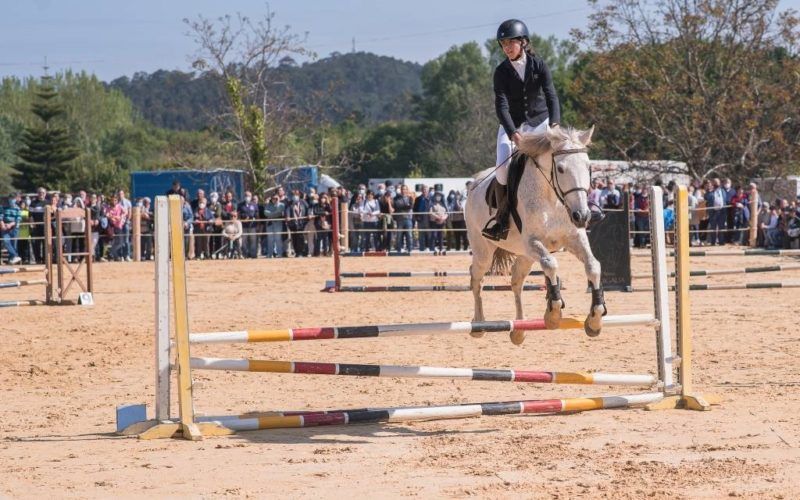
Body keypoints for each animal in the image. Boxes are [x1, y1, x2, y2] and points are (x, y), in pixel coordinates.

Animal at [466, 125, 604, 344]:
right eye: (561, 169)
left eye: (588, 167)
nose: (582, 216)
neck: (553, 198)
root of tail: (474, 184)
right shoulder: (533, 242)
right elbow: (551, 264)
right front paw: (553, 314)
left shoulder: (574, 239)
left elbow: (593, 266)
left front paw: (594, 320)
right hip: (484, 252)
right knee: (477, 278)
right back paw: (479, 324)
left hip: (525, 256)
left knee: (516, 281)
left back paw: (519, 330)